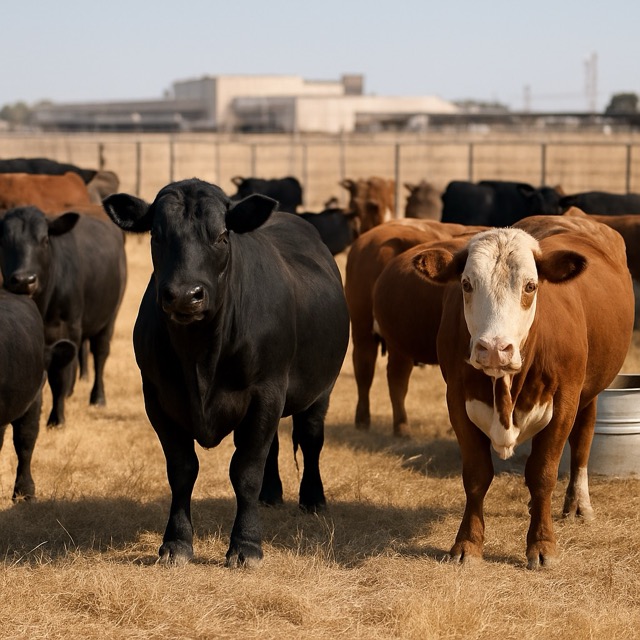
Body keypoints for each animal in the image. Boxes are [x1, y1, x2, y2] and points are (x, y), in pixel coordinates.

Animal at [0, 207, 127, 427]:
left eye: (44, 240)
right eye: (4, 240)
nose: (24, 280)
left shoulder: (65, 330)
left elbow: (60, 377)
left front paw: (57, 418)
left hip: (109, 319)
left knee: (100, 354)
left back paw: (98, 397)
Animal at [102, 178, 350, 568]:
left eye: (220, 236)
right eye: (157, 234)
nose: (184, 295)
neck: (200, 356)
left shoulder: (266, 391)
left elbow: (245, 471)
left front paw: (246, 545)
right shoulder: (157, 397)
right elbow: (182, 469)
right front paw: (176, 542)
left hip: (320, 390)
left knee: (310, 438)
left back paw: (312, 499)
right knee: (273, 446)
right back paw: (271, 494)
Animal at [412, 219, 634, 568]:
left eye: (530, 286)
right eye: (466, 284)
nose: (493, 348)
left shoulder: (565, 401)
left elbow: (542, 474)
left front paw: (542, 545)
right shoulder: (456, 401)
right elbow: (476, 475)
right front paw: (467, 544)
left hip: (591, 391)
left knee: (583, 441)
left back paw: (578, 504)